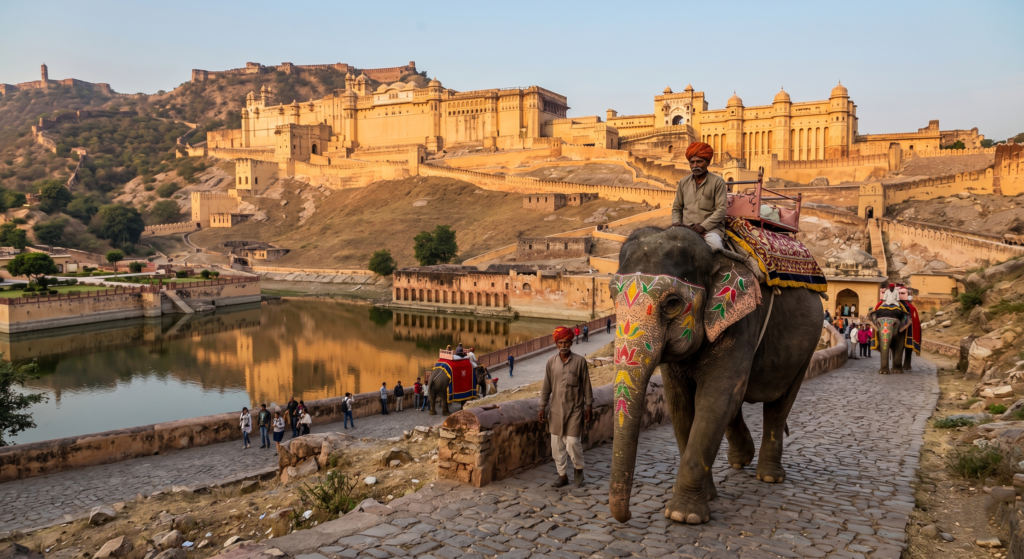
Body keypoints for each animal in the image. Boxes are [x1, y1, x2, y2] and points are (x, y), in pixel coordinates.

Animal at [608, 226, 823, 525]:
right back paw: (741, 459)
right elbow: (680, 404)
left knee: (778, 405)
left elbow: (714, 399)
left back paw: (769, 477)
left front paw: (683, 515)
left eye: (672, 303)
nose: (626, 516)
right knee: (739, 399)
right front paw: (707, 497)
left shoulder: (743, 321)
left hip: (807, 346)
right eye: (611, 297)